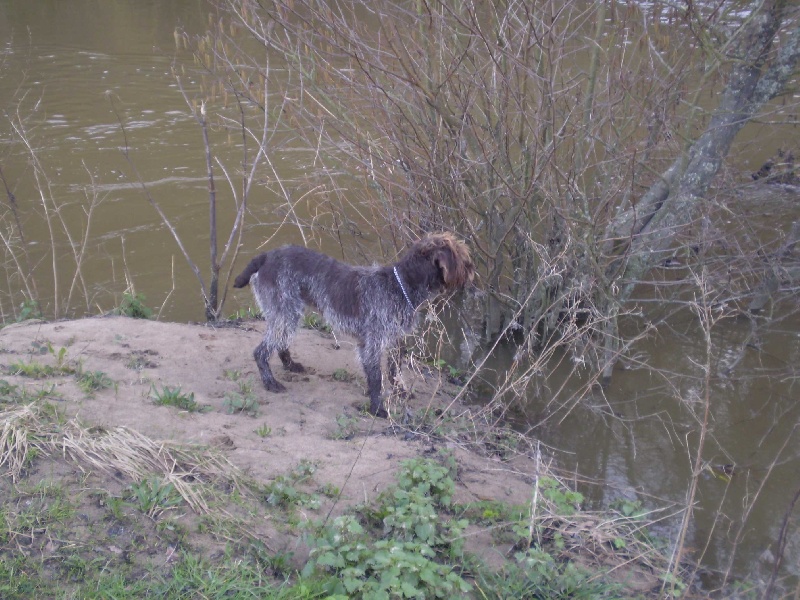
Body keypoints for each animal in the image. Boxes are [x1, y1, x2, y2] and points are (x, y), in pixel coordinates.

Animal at [236, 233, 476, 418]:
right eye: (463, 257)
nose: (473, 268)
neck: (400, 285)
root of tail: (266, 256)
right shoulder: (373, 344)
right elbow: (376, 378)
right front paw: (378, 409)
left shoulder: (391, 340)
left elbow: (393, 370)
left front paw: (400, 392)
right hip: (286, 312)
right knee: (261, 352)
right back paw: (270, 382)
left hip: (288, 313)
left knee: (280, 342)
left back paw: (290, 364)